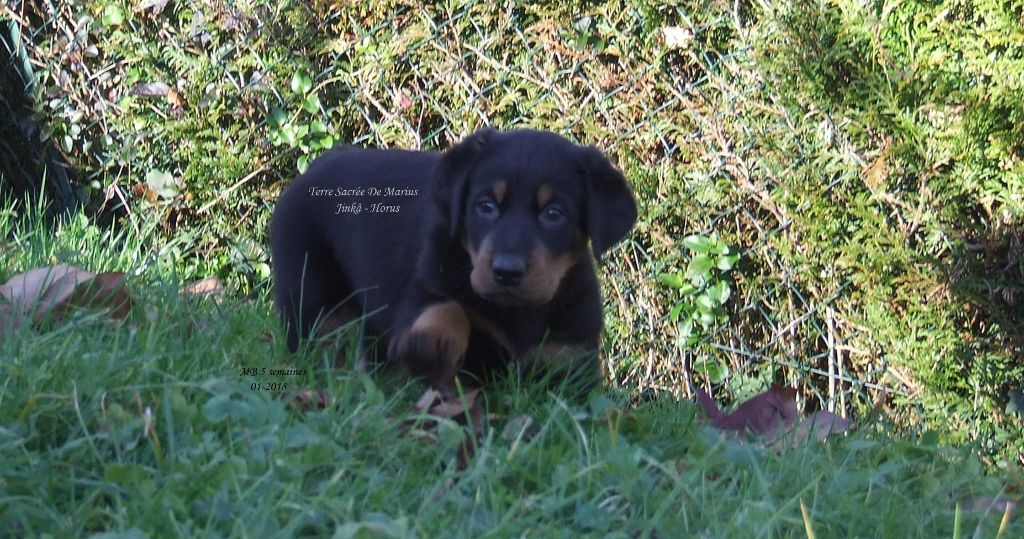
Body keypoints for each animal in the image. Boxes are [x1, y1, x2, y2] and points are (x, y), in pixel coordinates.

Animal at [276, 129, 634, 395]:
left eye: (554, 214)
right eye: (486, 206)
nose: (506, 272)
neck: (519, 312)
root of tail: (320, 162)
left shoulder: (570, 359)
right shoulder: (426, 284)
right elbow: (447, 305)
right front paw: (432, 342)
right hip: (310, 291)